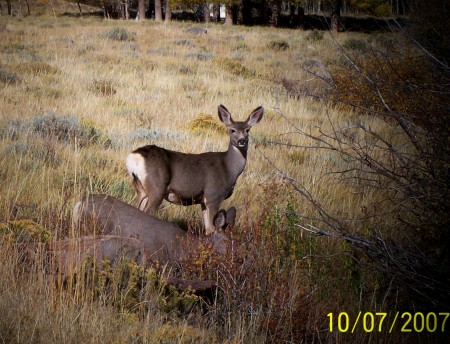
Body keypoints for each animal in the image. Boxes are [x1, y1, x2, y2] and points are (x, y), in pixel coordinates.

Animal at [125, 104, 262, 234]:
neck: (228, 169)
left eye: (247, 130)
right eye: (232, 130)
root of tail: (134, 156)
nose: (242, 141)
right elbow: (213, 228)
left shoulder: (203, 202)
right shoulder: (213, 195)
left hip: (140, 188)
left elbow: (208, 230)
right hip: (156, 187)